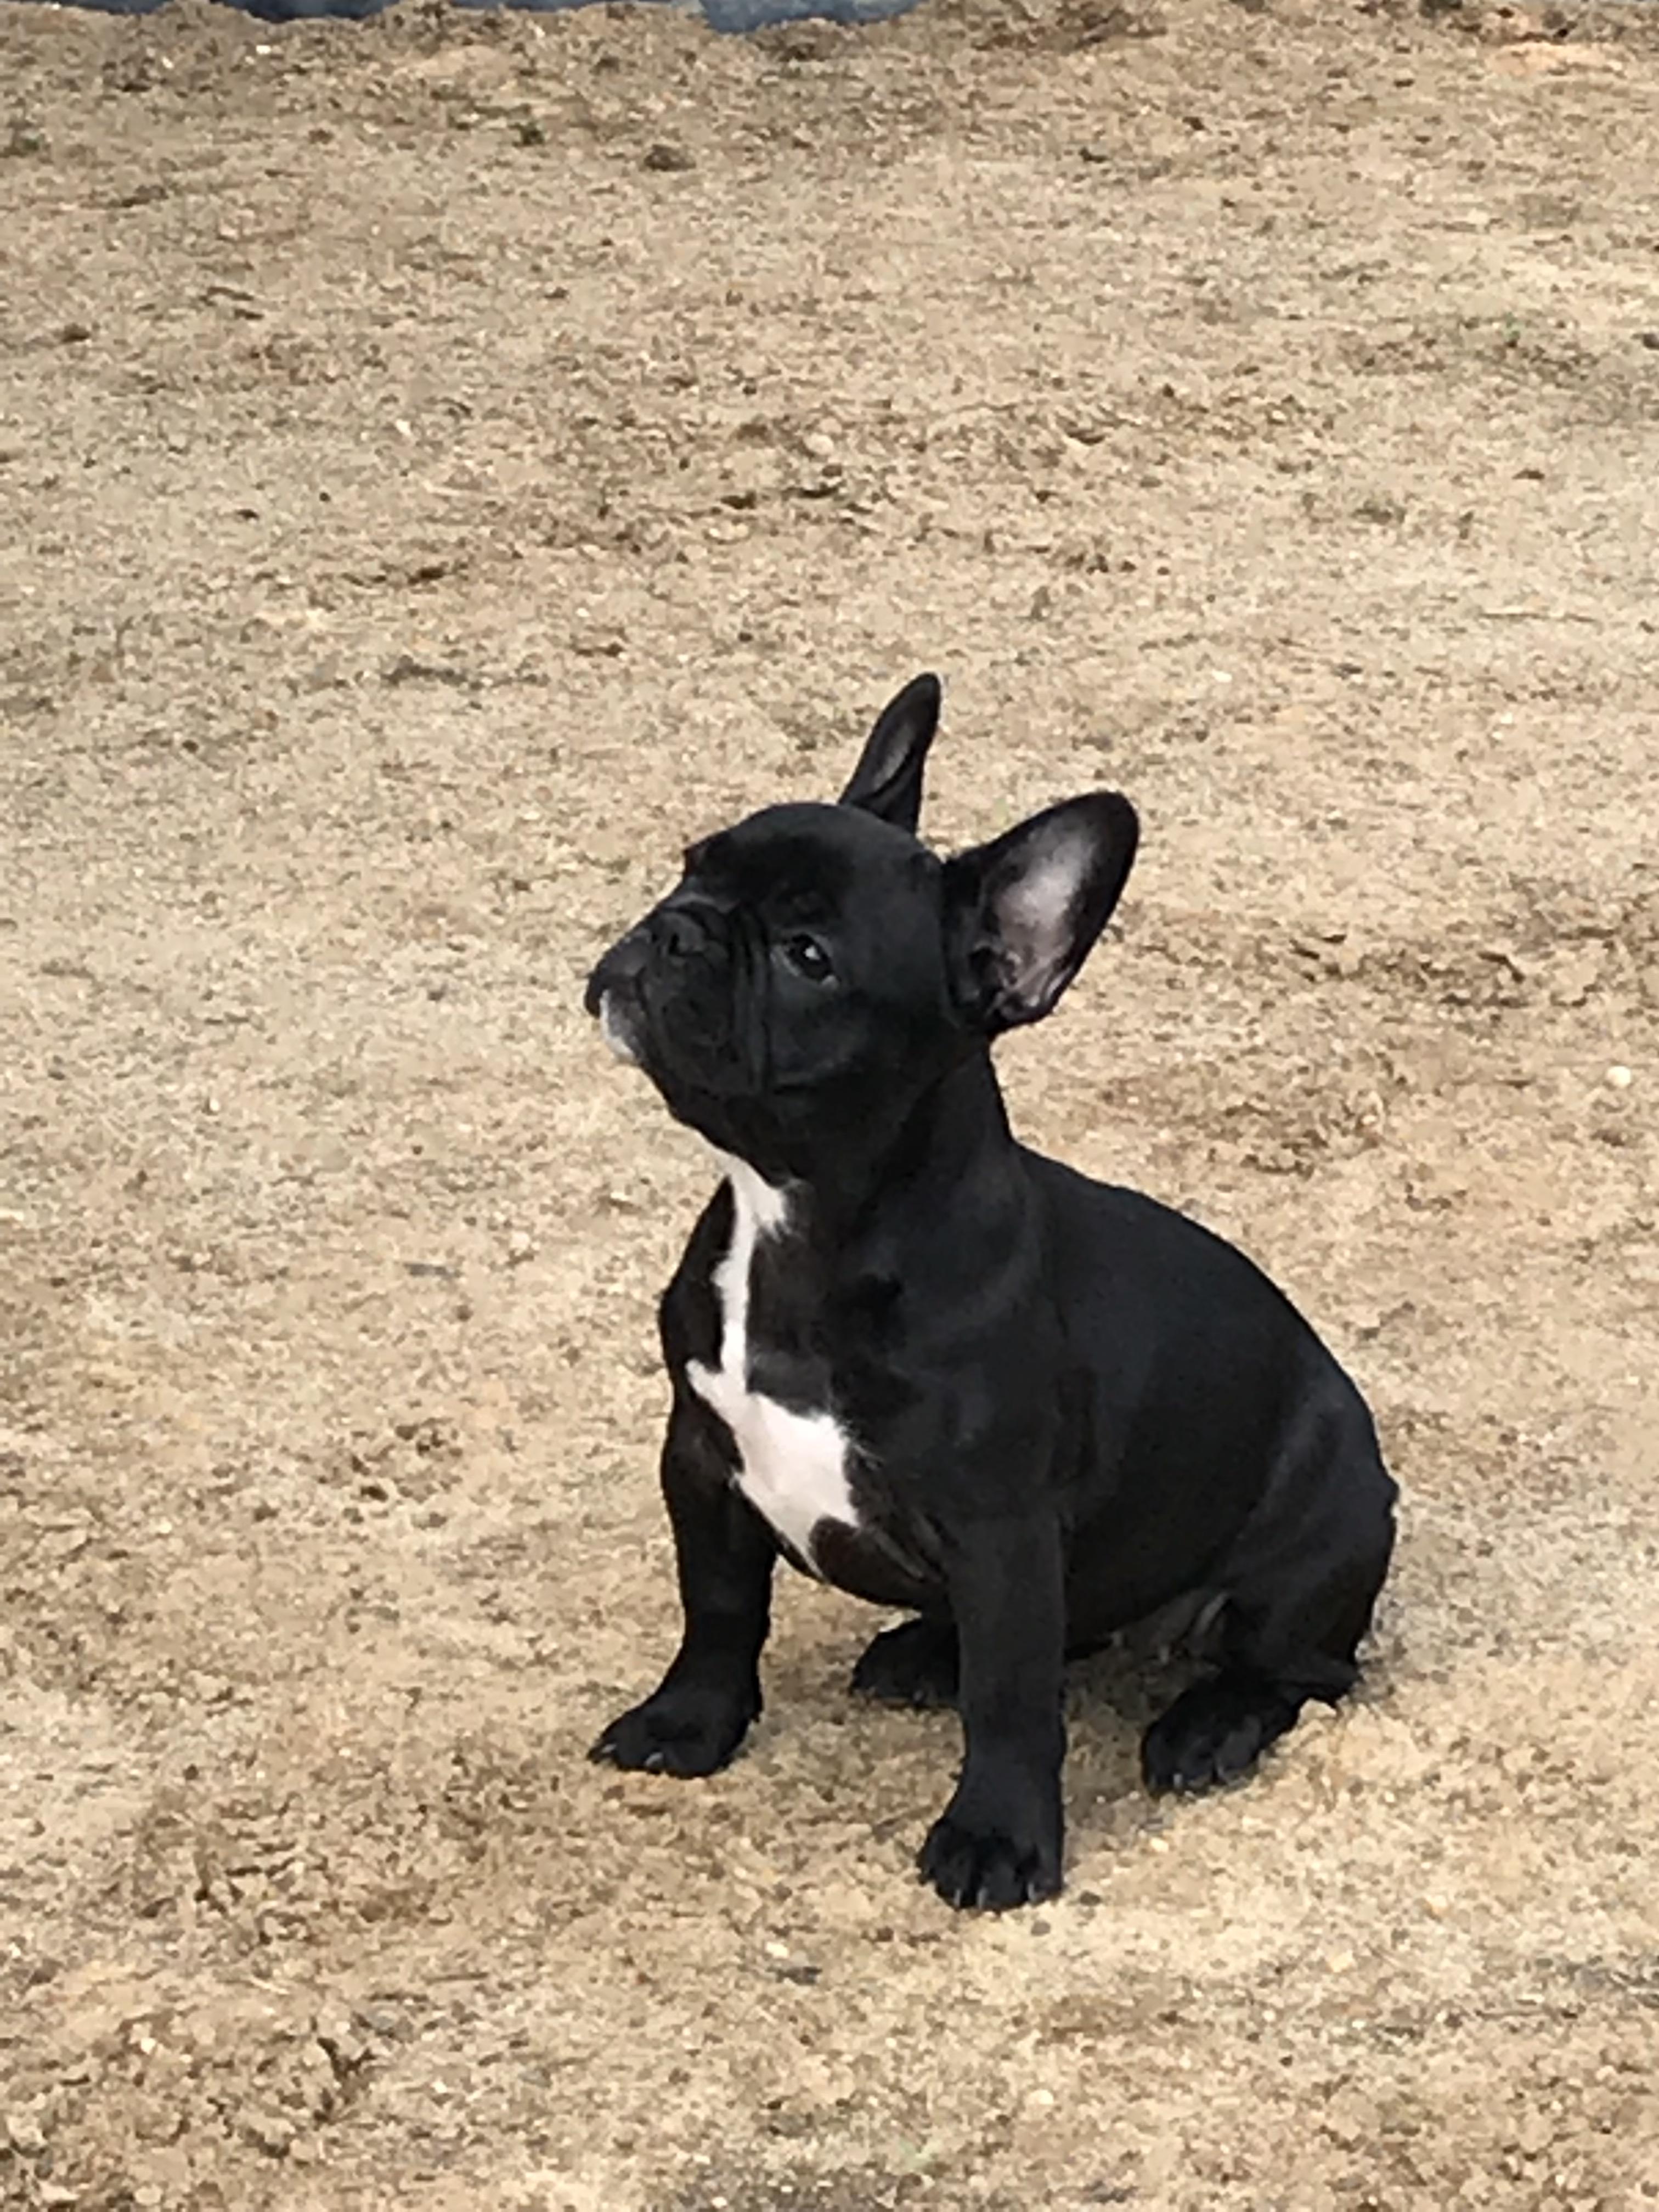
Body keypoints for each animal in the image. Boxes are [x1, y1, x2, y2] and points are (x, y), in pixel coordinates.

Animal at [584, 675, 1397, 1909]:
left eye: (808, 956)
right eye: (692, 866)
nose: (675, 927)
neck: (800, 1220)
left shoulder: (1001, 1532)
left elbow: (1011, 1705)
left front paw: (1000, 1839)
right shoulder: (700, 1458)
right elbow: (718, 1608)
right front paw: (689, 1723)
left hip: (1310, 1544)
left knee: (1294, 1668)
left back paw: (1205, 1726)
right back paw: (925, 1648)